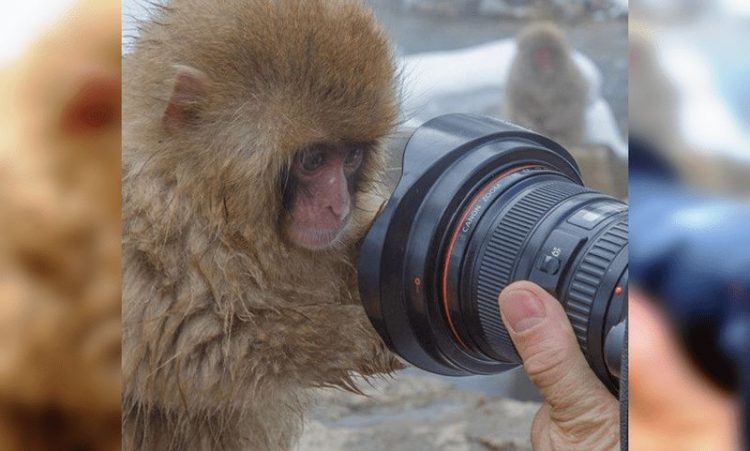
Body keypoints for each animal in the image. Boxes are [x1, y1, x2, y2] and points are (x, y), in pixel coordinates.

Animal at [125, 0, 406, 451]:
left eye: (350, 158)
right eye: (313, 160)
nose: (338, 206)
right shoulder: (141, 227)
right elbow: (191, 347)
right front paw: (364, 334)